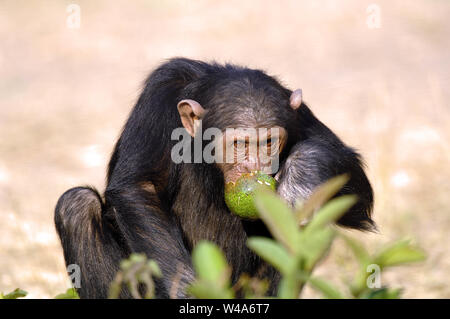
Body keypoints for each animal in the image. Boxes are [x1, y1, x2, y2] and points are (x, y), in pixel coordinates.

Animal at [54, 57, 374, 300]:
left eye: (269, 141)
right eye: (240, 144)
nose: (256, 165)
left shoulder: (299, 116)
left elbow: (356, 188)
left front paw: (301, 181)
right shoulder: (158, 101)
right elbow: (137, 187)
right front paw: (184, 290)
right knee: (76, 206)